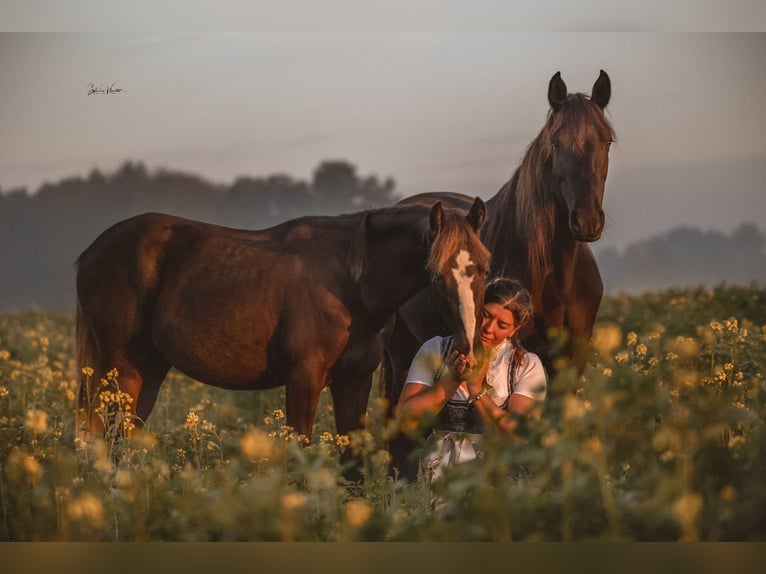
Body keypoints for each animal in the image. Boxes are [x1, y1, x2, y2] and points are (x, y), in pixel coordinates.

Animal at [388, 70, 616, 482]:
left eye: (605, 141)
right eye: (556, 142)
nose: (587, 221)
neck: (555, 280)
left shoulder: (570, 359)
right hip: (400, 351)